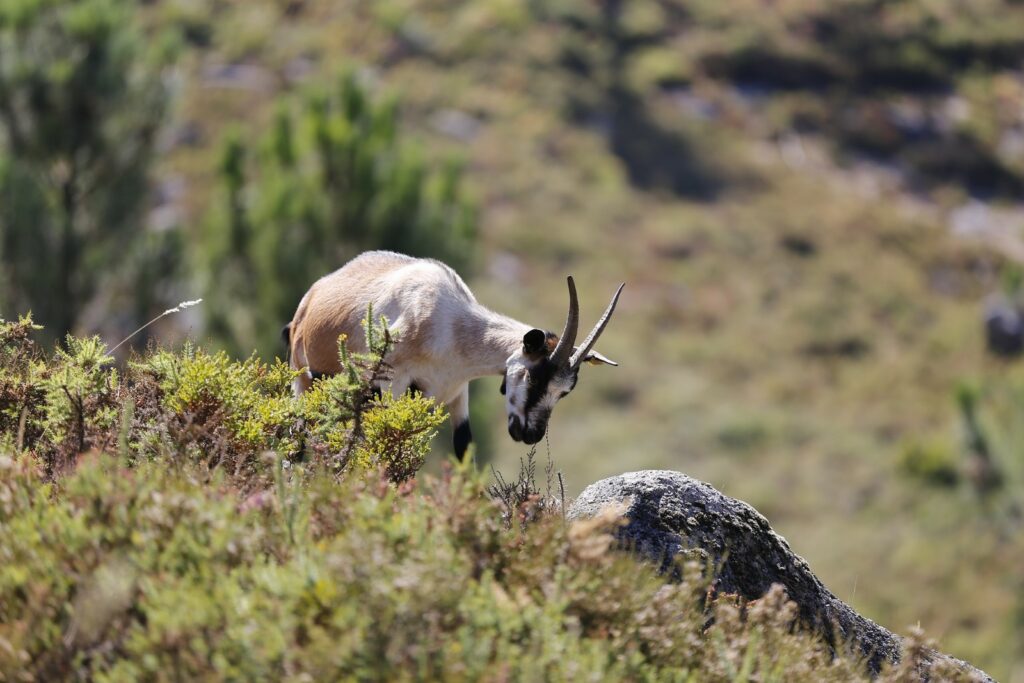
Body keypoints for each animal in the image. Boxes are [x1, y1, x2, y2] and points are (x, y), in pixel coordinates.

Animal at [284, 250, 626, 458]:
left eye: (564, 391)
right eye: (534, 377)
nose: (530, 434)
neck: (450, 324)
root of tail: (309, 299)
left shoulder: (458, 391)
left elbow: (465, 450)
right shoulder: (393, 384)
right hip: (303, 381)